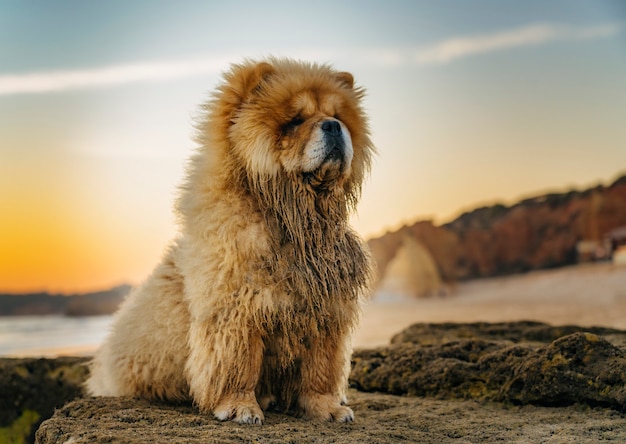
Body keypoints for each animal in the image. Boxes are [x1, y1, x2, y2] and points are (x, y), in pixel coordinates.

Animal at [85, 57, 372, 424]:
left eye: (338, 115)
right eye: (295, 121)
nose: (334, 126)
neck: (295, 220)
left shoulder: (326, 310)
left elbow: (320, 370)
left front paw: (328, 407)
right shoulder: (236, 310)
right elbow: (238, 363)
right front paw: (240, 407)